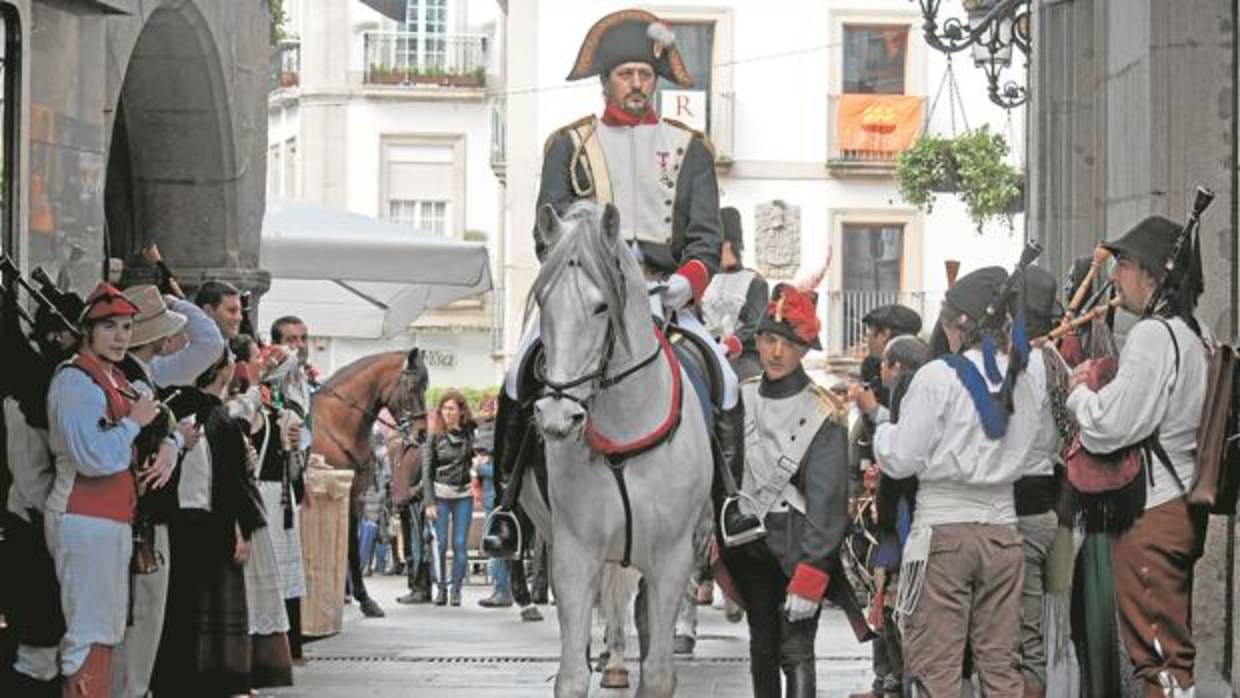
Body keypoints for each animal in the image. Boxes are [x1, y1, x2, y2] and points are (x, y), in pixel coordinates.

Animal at [307, 347, 429, 614]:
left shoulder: (354, 494)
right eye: (412, 386)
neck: (338, 425)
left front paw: (364, 599)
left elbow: (351, 544)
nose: (423, 433)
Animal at [525, 199, 719, 694]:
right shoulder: (574, 555)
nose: (557, 416)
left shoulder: (671, 559)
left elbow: (659, 673)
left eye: (600, 306)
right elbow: (572, 675)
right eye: (543, 301)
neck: (623, 427)